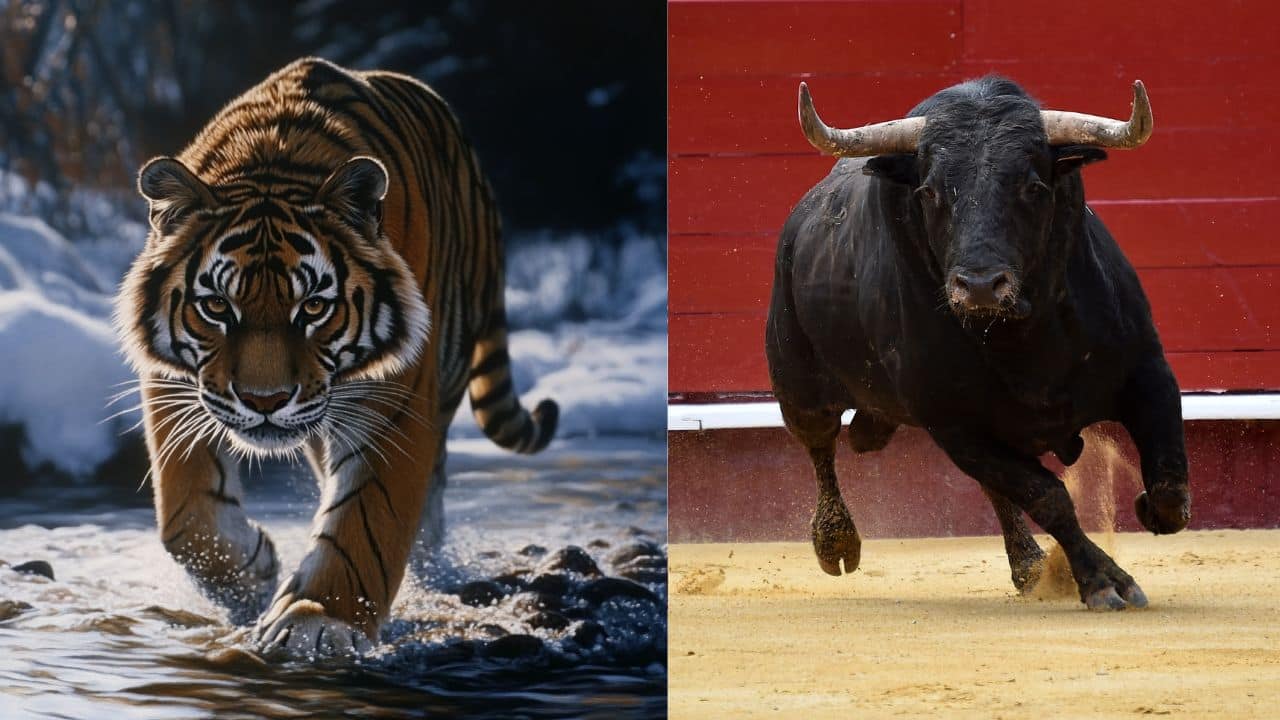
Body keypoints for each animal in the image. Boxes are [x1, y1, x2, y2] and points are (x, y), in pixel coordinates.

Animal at [115, 57, 558, 656]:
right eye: (217, 306)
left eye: (314, 307)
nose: (264, 401)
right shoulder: (171, 379)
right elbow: (184, 511)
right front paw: (251, 574)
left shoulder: (393, 400)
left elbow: (365, 523)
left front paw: (316, 620)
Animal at [765, 76, 1190, 610]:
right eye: (927, 191)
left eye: (1034, 186)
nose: (981, 285)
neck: (1023, 335)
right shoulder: (954, 423)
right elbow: (1048, 496)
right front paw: (1102, 579)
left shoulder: (1149, 370)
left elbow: (1169, 481)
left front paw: (1146, 510)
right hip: (798, 384)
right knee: (820, 445)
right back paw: (837, 544)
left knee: (994, 490)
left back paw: (1029, 565)